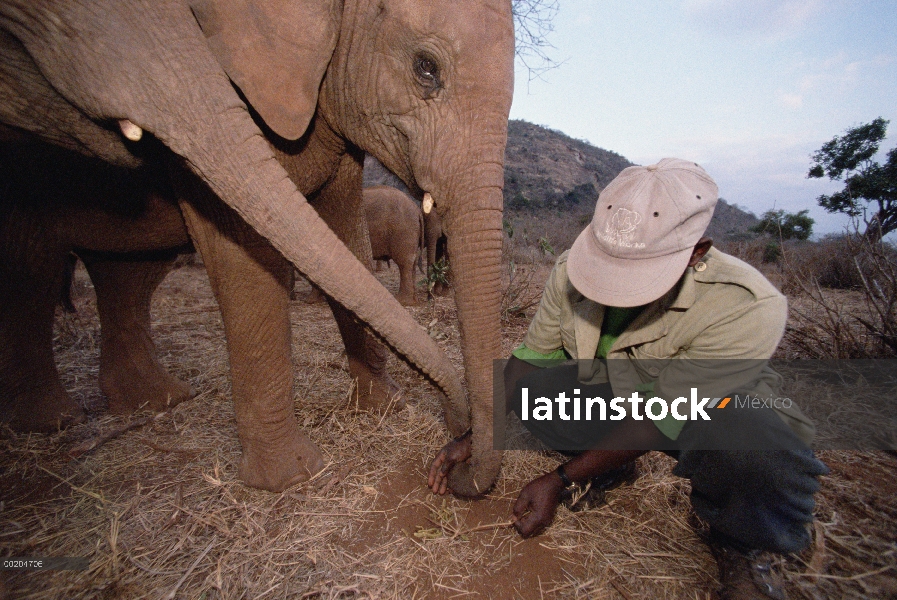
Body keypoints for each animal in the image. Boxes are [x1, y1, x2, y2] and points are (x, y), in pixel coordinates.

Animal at [0, 0, 516, 496]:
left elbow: (345, 231)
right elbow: (246, 243)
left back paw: (158, 400)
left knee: (125, 276)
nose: (460, 436)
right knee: (35, 272)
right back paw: (59, 420)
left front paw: (385, 407)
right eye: (426, 68)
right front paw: (295, 477)